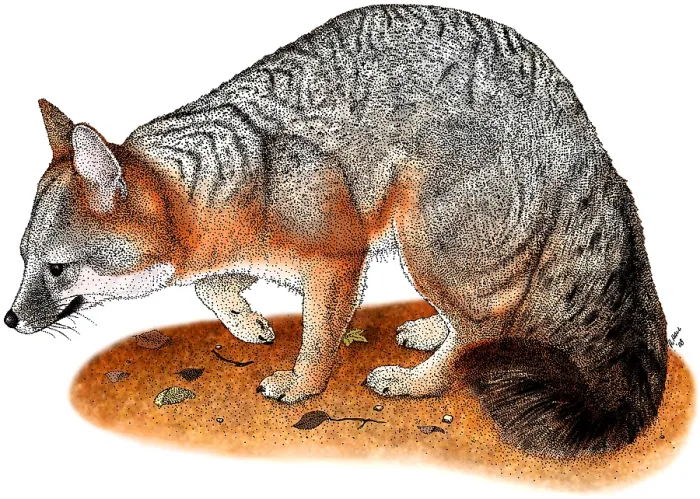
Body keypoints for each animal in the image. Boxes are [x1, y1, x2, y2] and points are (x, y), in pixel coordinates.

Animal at [5, 5, 667, 458]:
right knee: (484, 312)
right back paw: (431, 331)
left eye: (56, 268)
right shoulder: (237, 253)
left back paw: (418, 382)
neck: (236, 182)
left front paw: (303, 387)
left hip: (427, 243)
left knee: (490, 322)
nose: (9, 320)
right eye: (22, 258)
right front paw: (247, 322)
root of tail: (581, 129)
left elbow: (320, 338)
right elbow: (211, 286)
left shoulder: (337, 257)